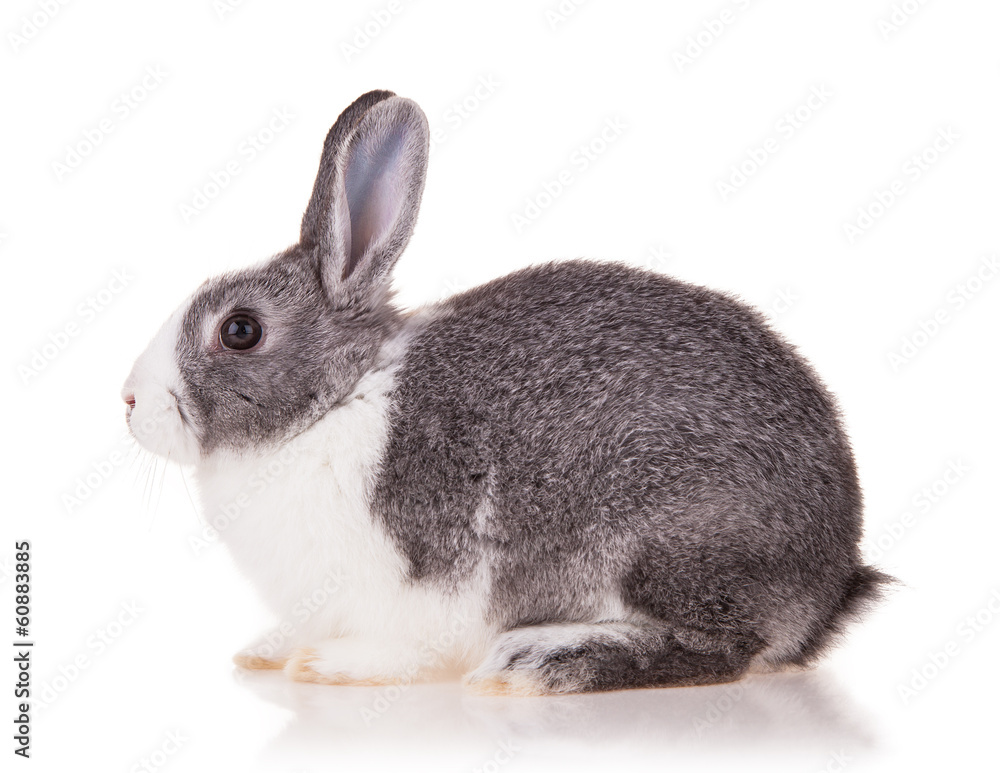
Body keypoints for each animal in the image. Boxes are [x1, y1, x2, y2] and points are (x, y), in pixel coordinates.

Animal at [122, 89, 890, 695]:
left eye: (241, 330)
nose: (129, 401)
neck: (338, 400)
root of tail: (830, 581)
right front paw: (264, 651)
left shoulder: (423, 578)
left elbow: (402, 645)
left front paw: (328, 665)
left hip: (669, 542)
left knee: (720, 645)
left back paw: (543, 661)